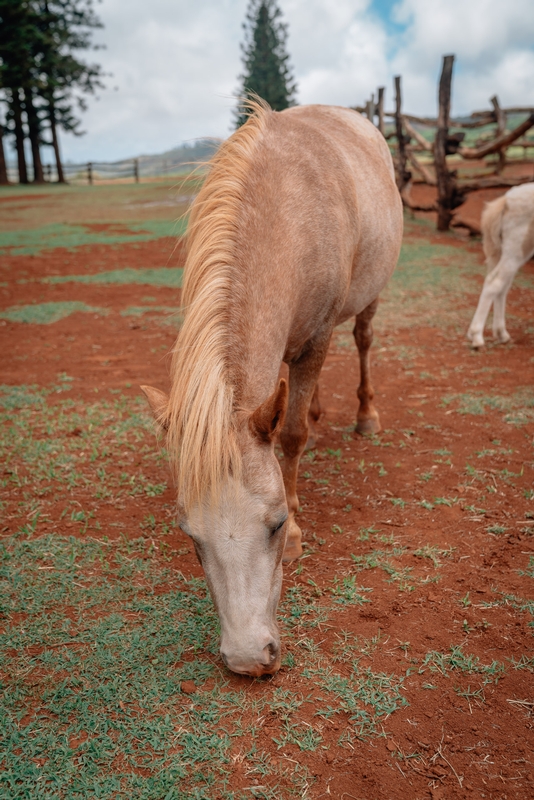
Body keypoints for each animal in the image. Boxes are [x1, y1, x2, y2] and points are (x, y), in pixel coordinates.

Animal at [141, 101, 402, 676]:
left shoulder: (319, 334)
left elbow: (291, 436)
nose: (247, 658)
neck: (286, 211)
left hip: (367, 300)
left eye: (278, 525)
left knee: (362, 341)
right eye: (190, 537)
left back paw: (367, 416)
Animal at [468, 183, 534, 348]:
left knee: (501, 286)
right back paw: (477, 336)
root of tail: (507, 200)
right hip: (517, 251)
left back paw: (501, 334)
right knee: (495, 282)